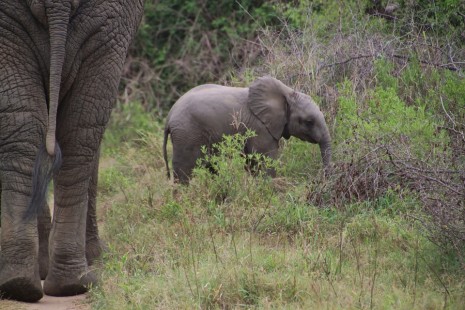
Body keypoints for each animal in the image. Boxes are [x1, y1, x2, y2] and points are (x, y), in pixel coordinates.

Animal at [163, 76, 330, 183]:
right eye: (309, 122)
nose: (321, 181)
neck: (288, 93)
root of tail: (169, 115)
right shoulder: (260, 128)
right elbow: (264, 160)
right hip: (187, 134)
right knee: (184, 170)